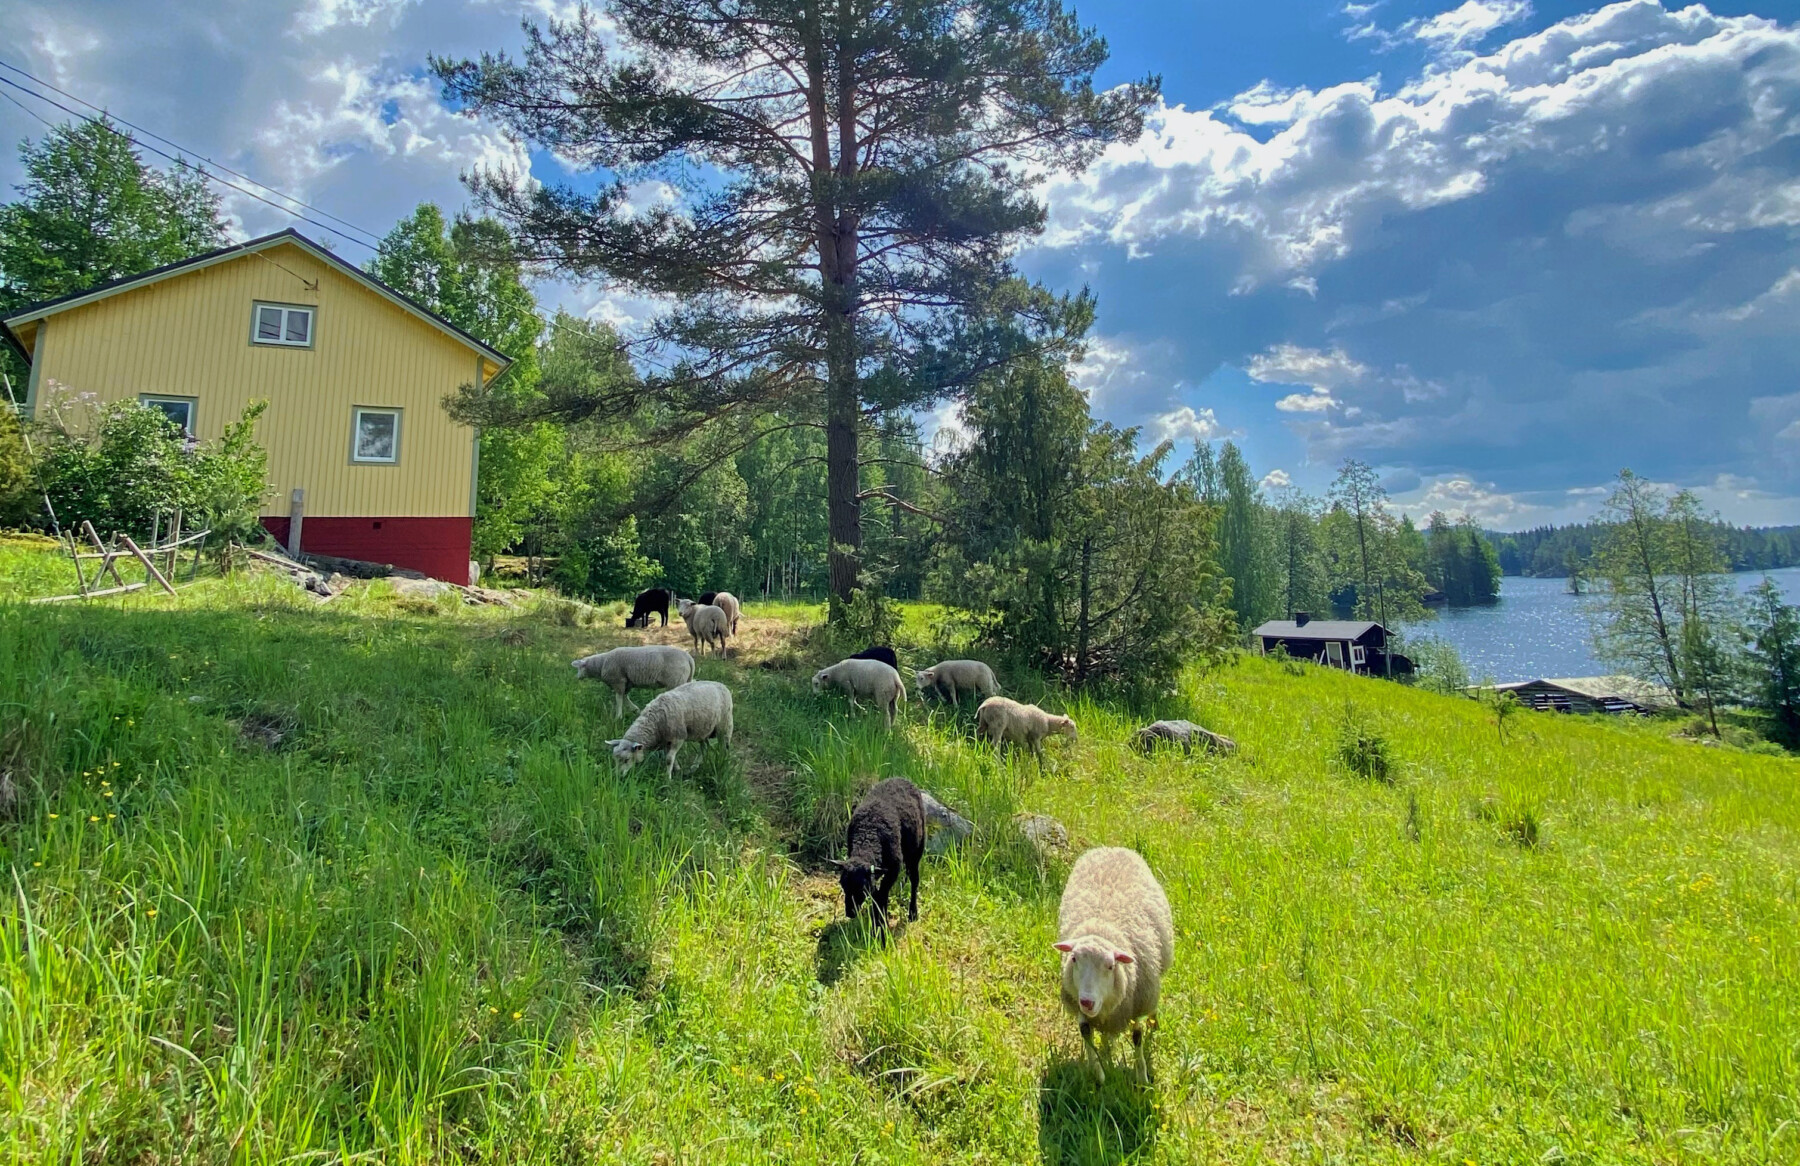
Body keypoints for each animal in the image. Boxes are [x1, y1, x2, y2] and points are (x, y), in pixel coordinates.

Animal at [835, 777, 928, 935]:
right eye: (842, 885)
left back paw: (913, 913)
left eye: (861, 888)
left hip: (916, 851)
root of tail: (901, 778)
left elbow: (882, 894)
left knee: (914, 880)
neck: (868, 833)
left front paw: (881, 923)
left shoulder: (893, 868)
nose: (850, 913)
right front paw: (876, 921)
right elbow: (875, 893)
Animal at [1051, 842, 1180, 1086]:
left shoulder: (1137, 1000)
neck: (1102, 929)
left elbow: (1137, 1037)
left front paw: (1142, 1078)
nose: (1087, 1001)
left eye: (1111, 966)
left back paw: (1153, 1023)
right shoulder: (1081, 1007)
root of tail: (1110, 847)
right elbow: (1085, 1032)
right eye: (1074, 959)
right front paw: (1099, 1074)